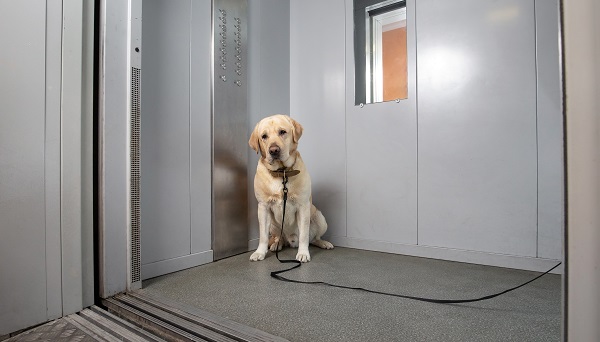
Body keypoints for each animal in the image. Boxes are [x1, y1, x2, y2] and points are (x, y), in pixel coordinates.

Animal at [247, 115, 332, 262]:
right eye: (264, 136)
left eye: (282, 132)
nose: (273, 150)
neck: (282, 172)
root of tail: (291, 241)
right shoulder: (263, 207)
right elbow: (263, 236)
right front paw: (260, 252)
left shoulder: (303, 206)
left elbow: (304, 235)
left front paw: (303, 253)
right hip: (273, 225)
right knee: (278, 237)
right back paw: (276, 244)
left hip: (320, 218)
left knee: (313, 238)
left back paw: (323, 243)